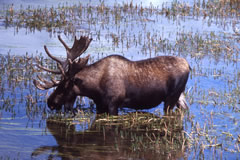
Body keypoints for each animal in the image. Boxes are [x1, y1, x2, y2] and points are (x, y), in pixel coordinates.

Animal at [34, 35, 191, 115]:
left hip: (171, 97)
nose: (50, 103)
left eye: (64, 87)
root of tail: (188, 65)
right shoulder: (100, 105)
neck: (94, 88)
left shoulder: (113, 104)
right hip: (180, 96)